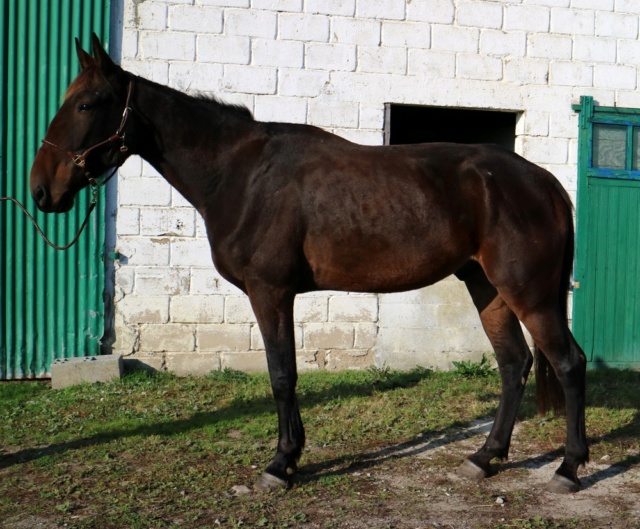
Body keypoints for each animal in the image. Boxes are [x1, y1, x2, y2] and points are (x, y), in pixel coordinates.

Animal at [31, 35, 592, 492]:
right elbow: (285, 373)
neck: (240, 174)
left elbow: (282, 374)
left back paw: (568, 468)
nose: (40, 190)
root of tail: (544, 182)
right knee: (514, 364)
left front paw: (281, 464)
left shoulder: (270, 292)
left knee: (568, 363)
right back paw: (484, 458)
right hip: (488, 287)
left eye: (85, 103)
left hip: (529, 293)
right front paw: (290, 456)